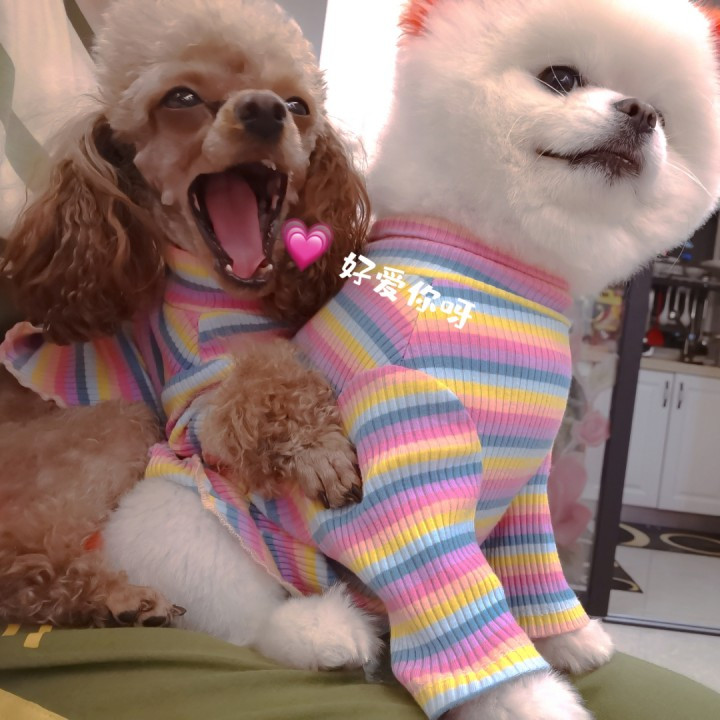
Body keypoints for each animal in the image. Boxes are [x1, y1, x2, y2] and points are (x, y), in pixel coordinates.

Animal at [0, 0, 378, 665]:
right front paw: (322, 453)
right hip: (117, 425)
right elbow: (265, 386)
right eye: (181, 98)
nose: (265, 111)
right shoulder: (190, 408)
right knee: (15, 559)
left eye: (298, 105)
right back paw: (114, 600)